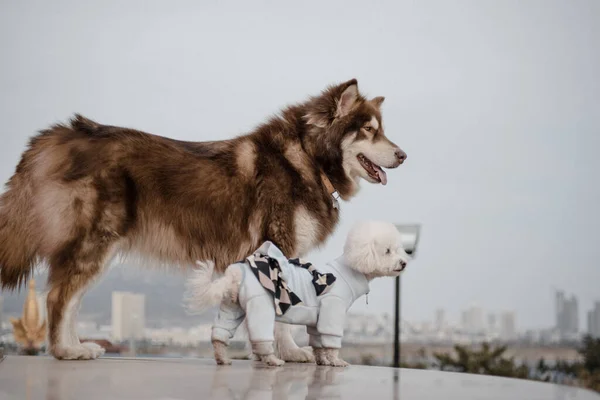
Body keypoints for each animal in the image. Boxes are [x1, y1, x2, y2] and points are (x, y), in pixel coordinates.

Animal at [184, 220, 408, 368]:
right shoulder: (332, 310)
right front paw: (336, 361)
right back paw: (273, 360)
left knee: (220, 333)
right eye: (387, 251)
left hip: (233, 306)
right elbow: (331, 341)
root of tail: (235, 274)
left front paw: (322, 361)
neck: (347, 270)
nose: (404, 262)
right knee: (261, 339)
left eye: (399, 249)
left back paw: (222, 358)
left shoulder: (318, 319)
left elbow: (318, 342)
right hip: (260, 306)